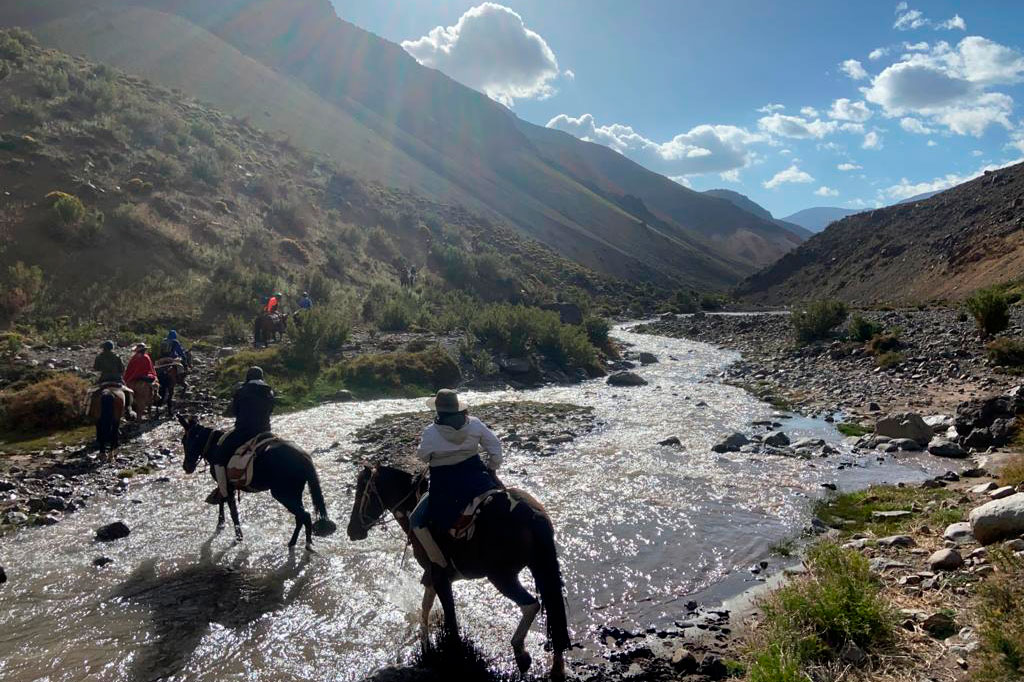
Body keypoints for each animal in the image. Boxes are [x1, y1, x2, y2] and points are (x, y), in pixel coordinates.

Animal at [176, 413, 335, 548]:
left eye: (185, 441)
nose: (186, 467)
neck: (215, 446)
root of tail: (303, 456)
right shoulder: (226, 485)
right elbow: (222, 501)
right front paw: (221, 524)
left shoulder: (226, 484)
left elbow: (232, 510)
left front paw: (238, 536)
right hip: (294, 494)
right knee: (300, 517)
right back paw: (294, 542)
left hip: (283, 494)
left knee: (304, 516)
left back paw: (305, 544)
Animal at [348, 458, 573, 675]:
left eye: (360, 492)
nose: (352, 530)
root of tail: (533, 515)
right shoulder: (433, 576)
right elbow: (426, 607)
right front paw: (425, 645)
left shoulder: (439, 577)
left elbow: (449, 618)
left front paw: (452, 653)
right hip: (538, 568)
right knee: (553, 614)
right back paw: (556, 666)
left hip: (501, 576)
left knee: (531, 605)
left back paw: (521, 653)